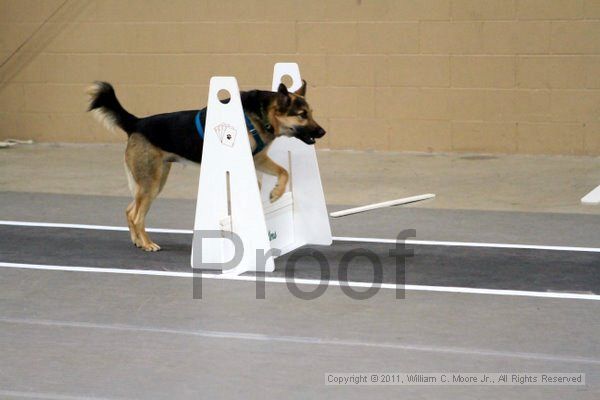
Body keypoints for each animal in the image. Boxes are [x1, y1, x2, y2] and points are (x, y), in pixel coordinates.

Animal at [85, 79, 324, 252]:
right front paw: (272, 195)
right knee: (136, 215)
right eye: (302, 115)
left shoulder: (258, 160)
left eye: (311, 113)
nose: (323, 132)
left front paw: (275, 192)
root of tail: (137, 122)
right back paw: (147, 244)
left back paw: (137, 241)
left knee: (130, 210)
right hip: (151, 183)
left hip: (155, 181)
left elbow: (283, 172)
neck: (262, 115)